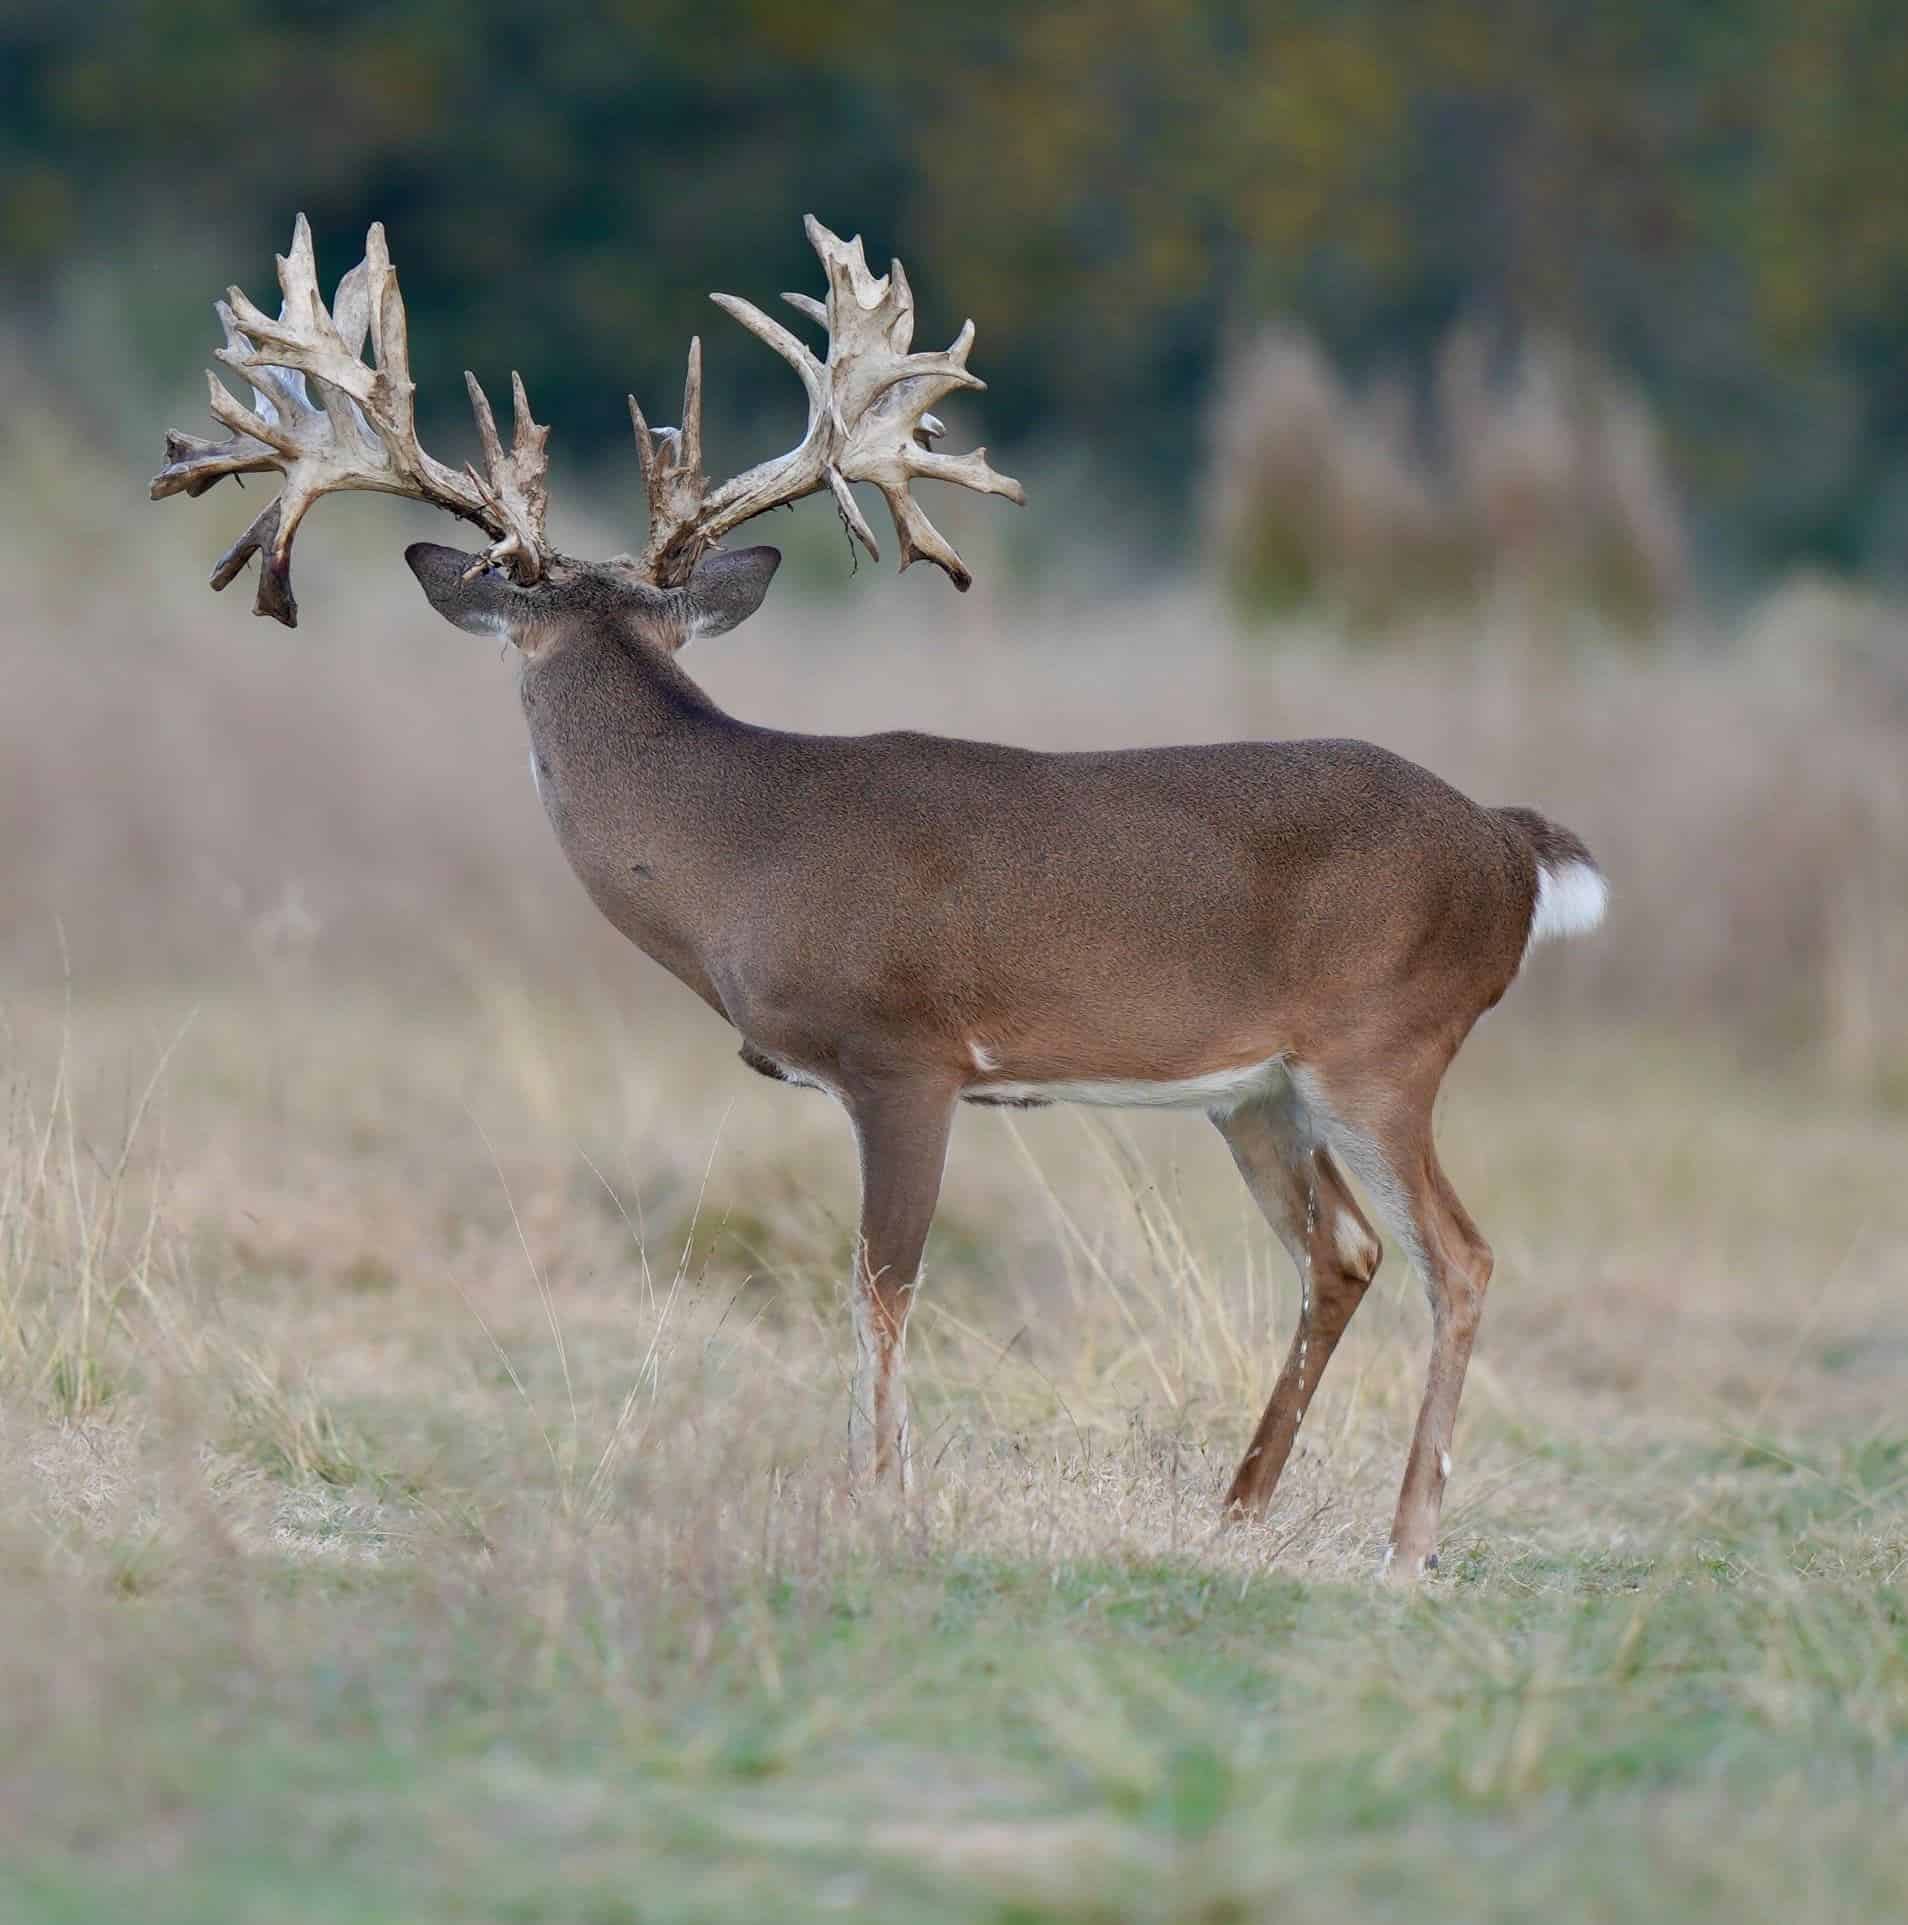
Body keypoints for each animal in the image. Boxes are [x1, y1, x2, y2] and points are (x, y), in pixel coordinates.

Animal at [152, 213, 1606, 1579]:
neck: (742, 856)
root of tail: (1510, 846)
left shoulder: (905, 1053)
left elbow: (881, 1286)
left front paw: (882, 1493)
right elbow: (871, 1290)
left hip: (1384, 1044)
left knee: (1460, 1255)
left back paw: (1409, 1540)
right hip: (1259, 1091)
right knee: (1344, 1254)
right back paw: (1240, 1506)